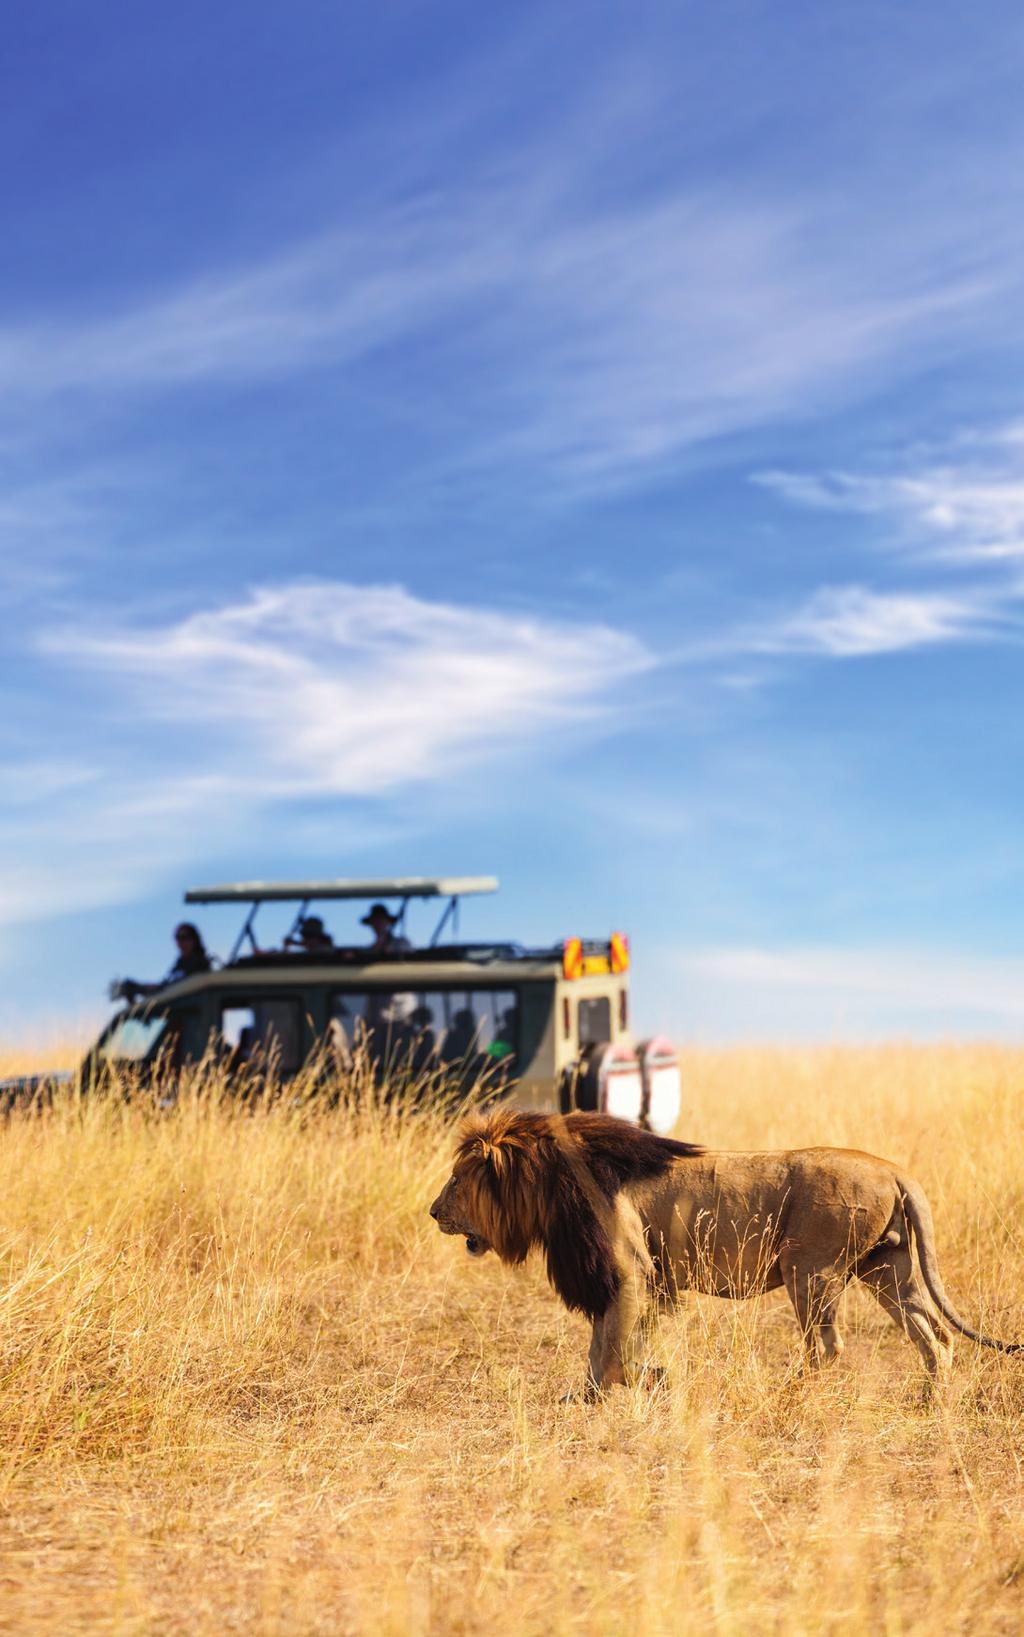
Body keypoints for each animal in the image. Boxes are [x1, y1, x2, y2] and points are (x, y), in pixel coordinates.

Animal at [425, 1100, 1014, 1394]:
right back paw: (932, 1401)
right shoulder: (629, 1280)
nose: (433, 1212)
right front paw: (614, 1388)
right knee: (935, 1334)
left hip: (810, 1271)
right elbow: (605, 1343)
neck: (549, 1183)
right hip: (887, 1267)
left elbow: (611, 1345)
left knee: (827, 1346)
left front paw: (619, 1389)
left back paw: (791, 1394)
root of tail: (894, 1169)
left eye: (455, 1180)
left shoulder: (629, 1271)